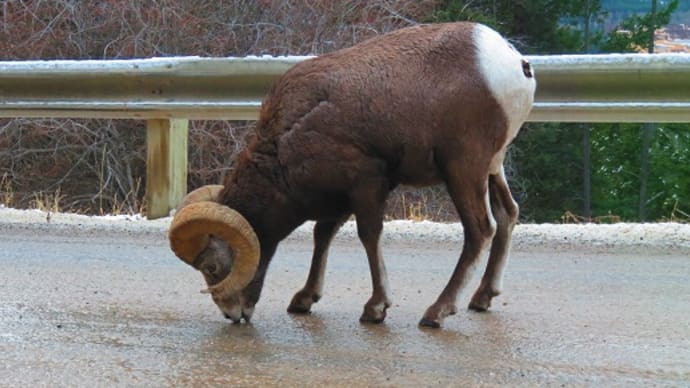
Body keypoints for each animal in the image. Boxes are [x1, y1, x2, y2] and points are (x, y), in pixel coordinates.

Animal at [169, 22, 536, 328]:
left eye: (211, 267)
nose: (233, 314)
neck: (290, 136)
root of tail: (515, 64)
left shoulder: (367, 185)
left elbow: (368, 236)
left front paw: (375, 308)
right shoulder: (341, 196)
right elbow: (322, 235)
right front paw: (304, 299)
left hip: (463, 169)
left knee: (480, 230)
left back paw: (436, 313)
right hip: (492, 168)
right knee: (508, 214)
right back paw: (482, 298)